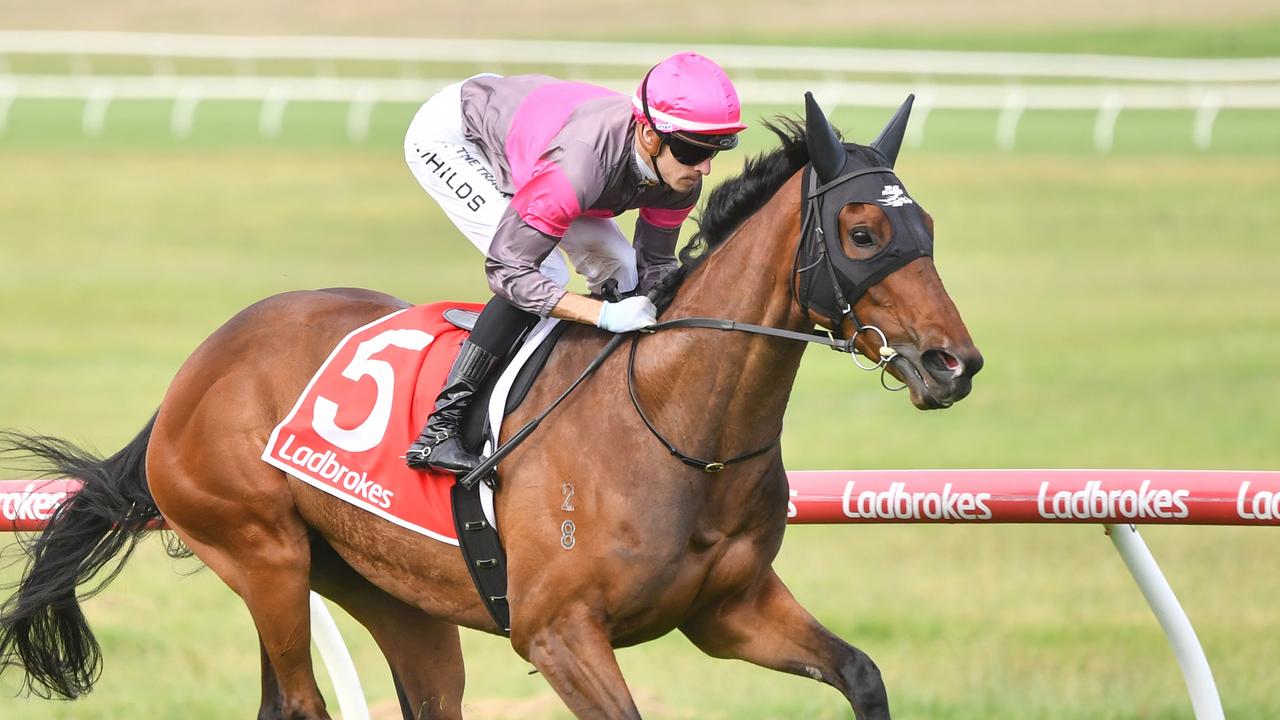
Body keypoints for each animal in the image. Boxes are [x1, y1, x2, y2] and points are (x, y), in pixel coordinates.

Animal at [2, 95, 977, 717]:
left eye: (927, 228)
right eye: (862, 233)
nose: (954, 364)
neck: (675, 425)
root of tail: (198, 370)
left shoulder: (729, 609)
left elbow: (862, 675)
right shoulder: (558, 636)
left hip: (389, 593)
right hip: (262, 555)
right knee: (301, 702)